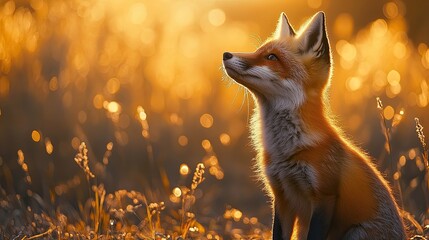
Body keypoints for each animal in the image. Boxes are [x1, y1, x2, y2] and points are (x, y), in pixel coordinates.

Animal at [222, 11, 406, 240]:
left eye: (272, 57)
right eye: (258, 51)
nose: (226, 54)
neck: (284, 151)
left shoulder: (324, 196)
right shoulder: (281, 195)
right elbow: (278, 234)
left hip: (355, 232)